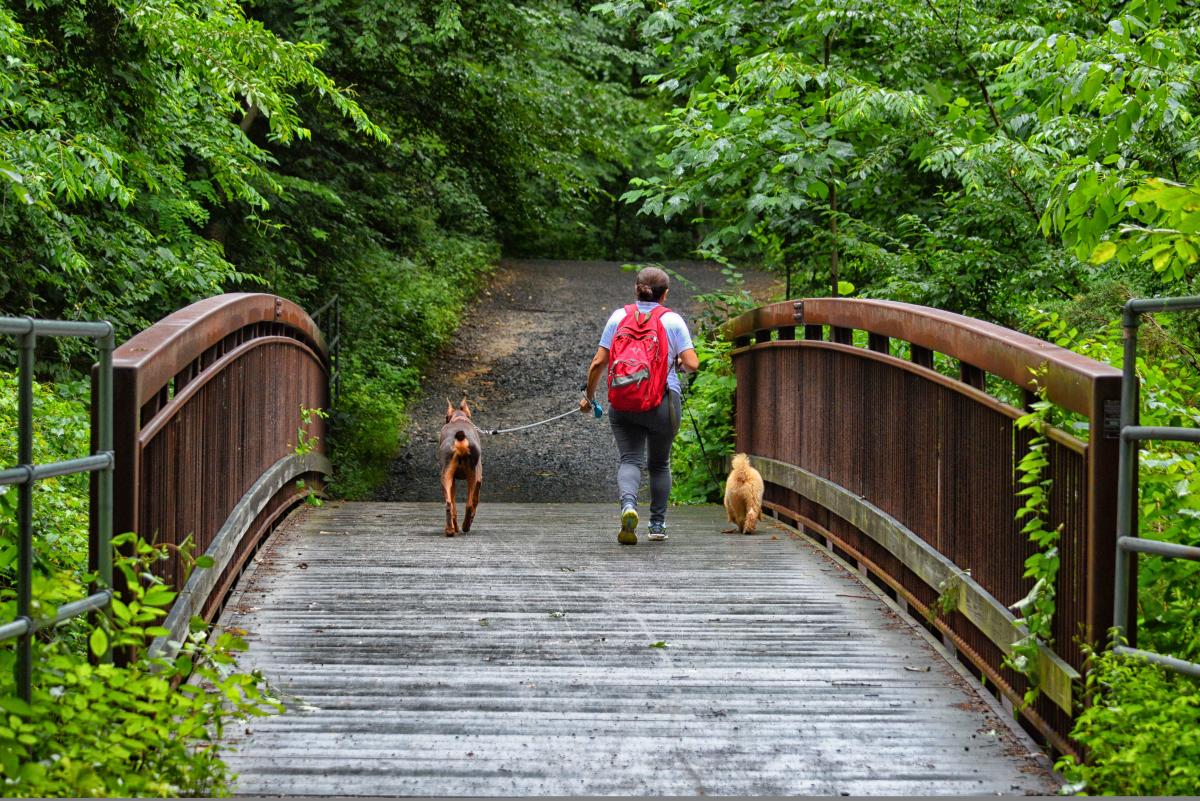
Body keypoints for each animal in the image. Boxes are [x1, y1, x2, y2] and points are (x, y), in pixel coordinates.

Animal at [441, 398, 482, 534]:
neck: (459, 418)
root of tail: (460, 437)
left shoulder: (453, 479)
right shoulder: (479, 478)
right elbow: (475, 500)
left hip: (446, 476)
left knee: (449, 504)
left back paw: (450, 530)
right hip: (472, 475)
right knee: (469, 505)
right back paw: (465, 526)